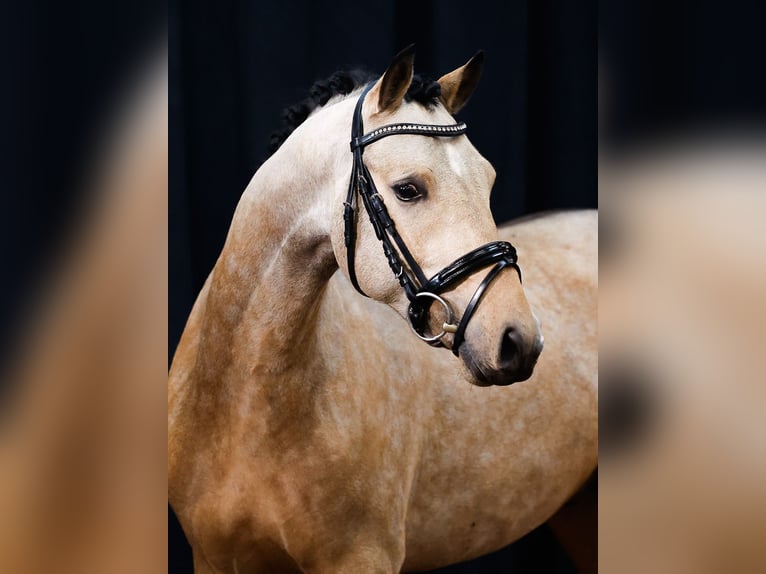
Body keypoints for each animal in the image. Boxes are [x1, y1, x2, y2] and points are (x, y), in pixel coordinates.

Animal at [170, 47, 600, 572]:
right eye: (408, 189)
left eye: (489, 180)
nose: (517, 340)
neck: (243, 406)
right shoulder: (210, 558)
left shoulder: (359, 558)